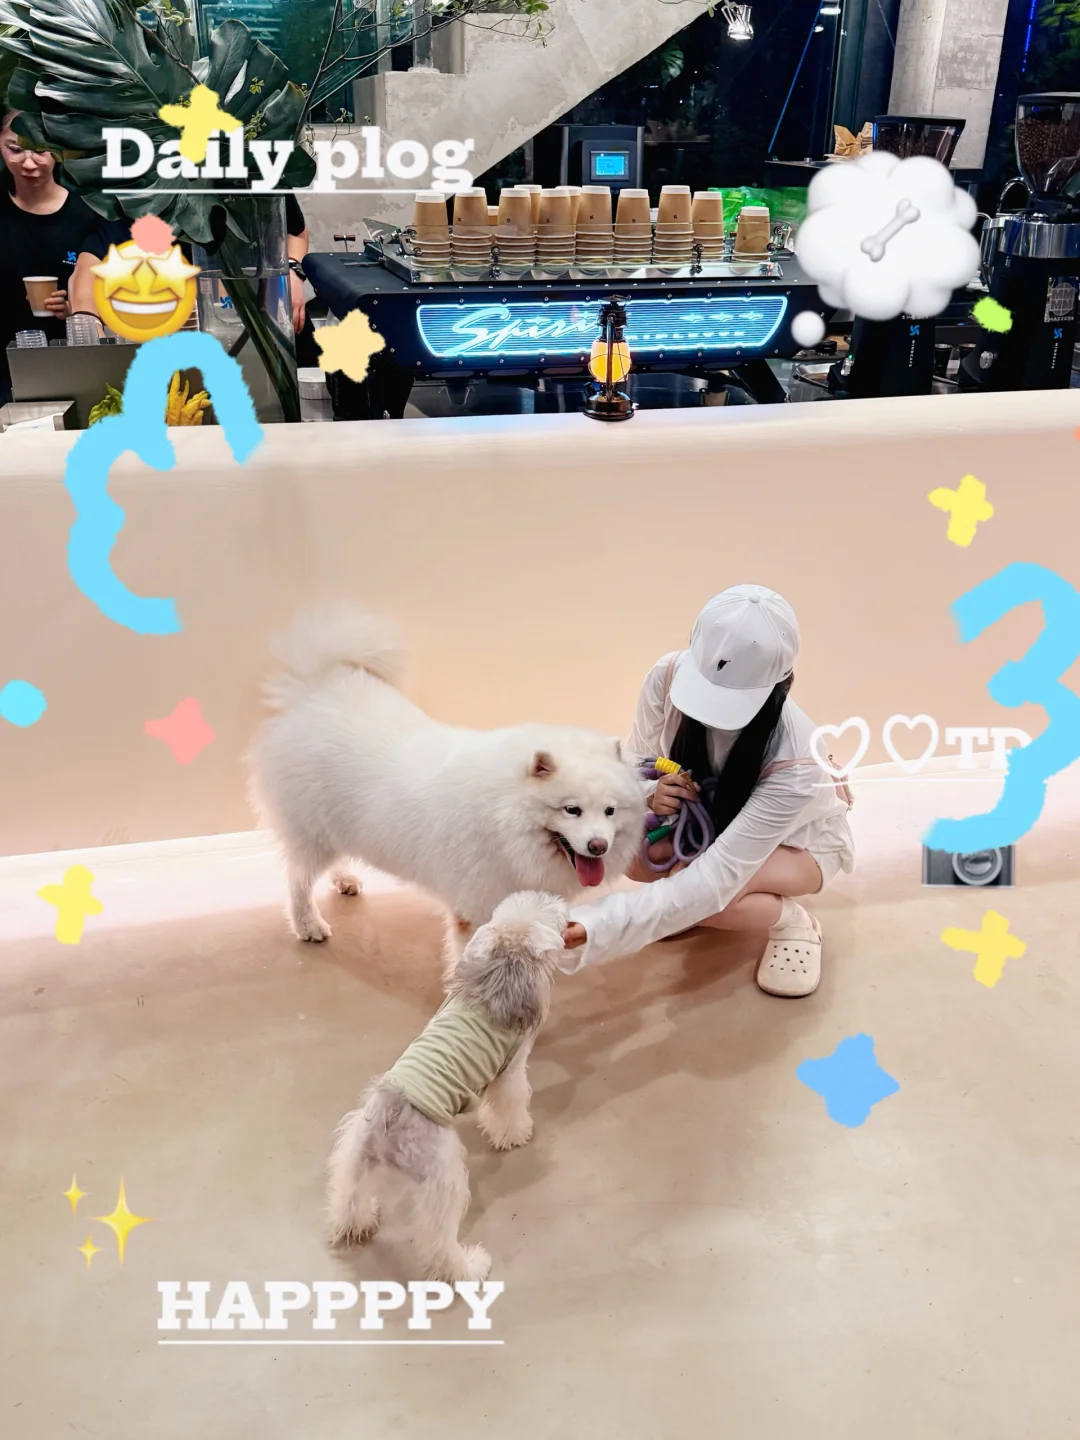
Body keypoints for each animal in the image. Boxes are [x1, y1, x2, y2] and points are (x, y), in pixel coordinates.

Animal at [248, 603, 643, 940]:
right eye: (571, 809)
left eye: (609, 811)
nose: (598, 846)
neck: (502, 821)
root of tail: (318, 686)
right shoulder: (476, 907)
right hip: (311, 835)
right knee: (298, 882)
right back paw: (308, 925)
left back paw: (344, 880)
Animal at [325, 892, 567, 1282]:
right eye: (545, 907)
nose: (560, 901)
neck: (502, 968)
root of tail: (391, 1117)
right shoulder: (511, 1070)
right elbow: (511, 1106)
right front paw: (516, 1134)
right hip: (445, 1179)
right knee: (439, 1246)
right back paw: (470, 1267)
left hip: (355, 1157)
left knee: (350, 1200)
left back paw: (358, 1225)